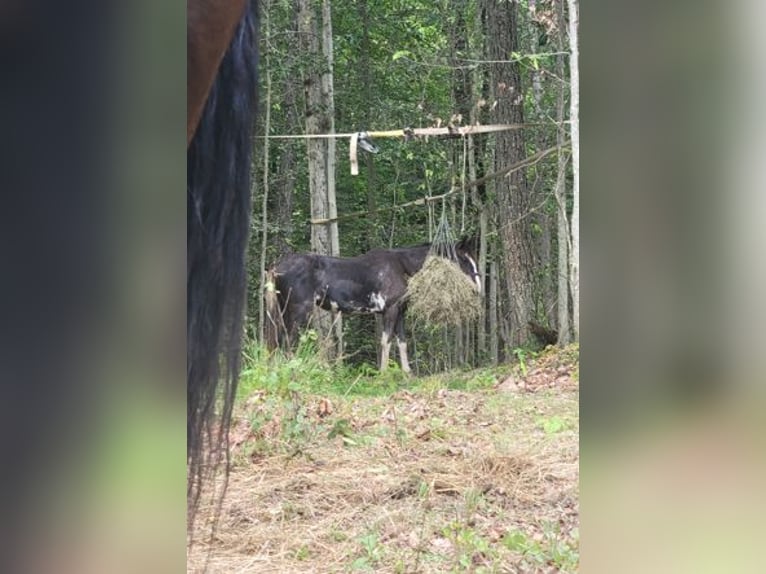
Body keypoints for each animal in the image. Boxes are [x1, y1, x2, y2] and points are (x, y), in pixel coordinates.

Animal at [264, 239, 481, 373]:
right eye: (464, 259)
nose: (478, 288)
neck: (401, 265)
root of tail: (277, 266)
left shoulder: (400, 312)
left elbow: (402, 342)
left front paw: (407, 372)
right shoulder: (390, 310)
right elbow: (386, 341)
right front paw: (383, 373)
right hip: (298, 311)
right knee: (288, 340)